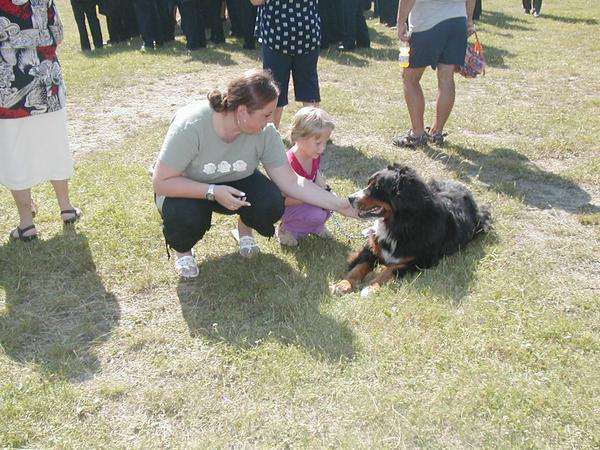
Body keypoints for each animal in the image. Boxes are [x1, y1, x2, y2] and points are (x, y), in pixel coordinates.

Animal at [332, 163, 492, 298]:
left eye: (377, 187)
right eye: (368, 183)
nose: (350, 198)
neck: (400, 224)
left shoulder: (418, 261)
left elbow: (390, 270)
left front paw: (371, 288)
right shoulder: (372, 249)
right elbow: (359, 267)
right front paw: (343, 285)